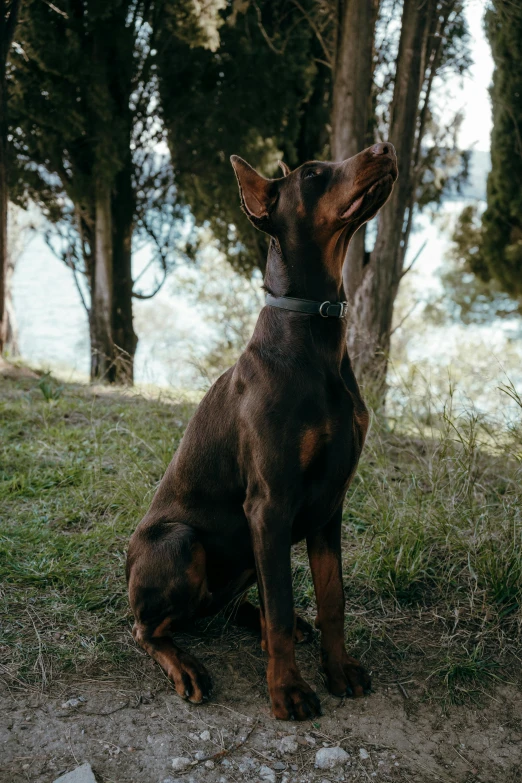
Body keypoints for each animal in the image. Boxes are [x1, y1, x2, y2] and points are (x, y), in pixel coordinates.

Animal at [125, 144, 394, 720]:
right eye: (313, 174)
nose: (384, 147)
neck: (315, 334)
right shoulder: (269, 503)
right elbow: (283, 601)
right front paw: (288, 690)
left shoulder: (330, 503)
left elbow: (331, 597)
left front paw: (339, 669)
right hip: (180, 542)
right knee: (148, 628)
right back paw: (186, 666)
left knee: (234, 609)